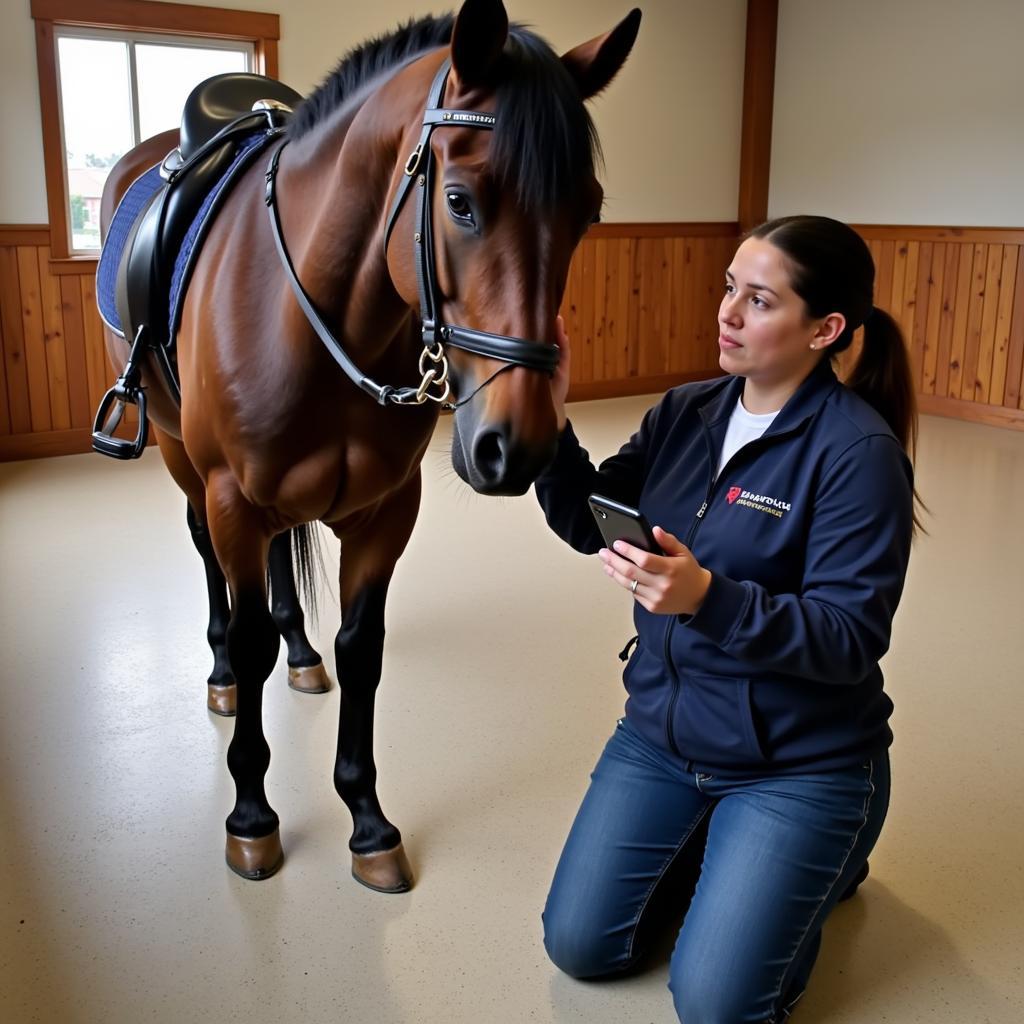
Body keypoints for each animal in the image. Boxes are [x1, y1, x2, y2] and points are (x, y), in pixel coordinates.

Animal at [97, 0, 638, 892]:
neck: (315, 316)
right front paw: (252, 817)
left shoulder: (386, 511)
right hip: (182, 457)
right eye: (459, 201)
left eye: (587, 211)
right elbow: (248, 638)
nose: (516, 449)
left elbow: (362, 651)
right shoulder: (232, 495)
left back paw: (300, 651)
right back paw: (220, 675)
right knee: (208, 558)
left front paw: (367, 821)